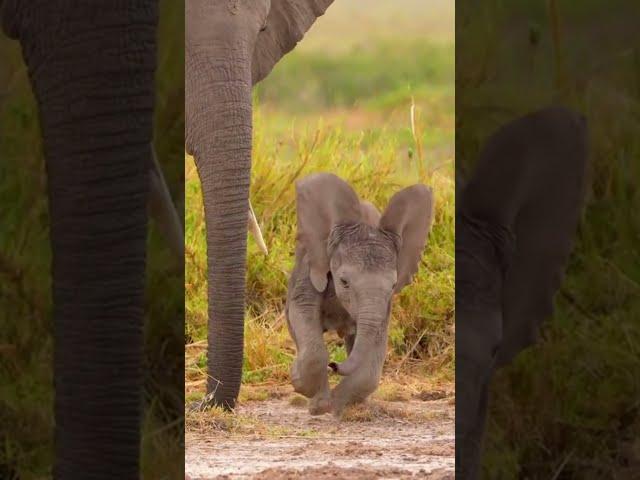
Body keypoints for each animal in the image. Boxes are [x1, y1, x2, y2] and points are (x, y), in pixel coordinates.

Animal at [286, 173, 432, 416]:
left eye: (393, 285)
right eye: (344, 282)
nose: (334, 365)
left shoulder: (385, 304)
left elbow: (374, 350)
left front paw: (337, 404)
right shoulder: (311, 265)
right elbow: (302, 310)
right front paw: (316, 402)